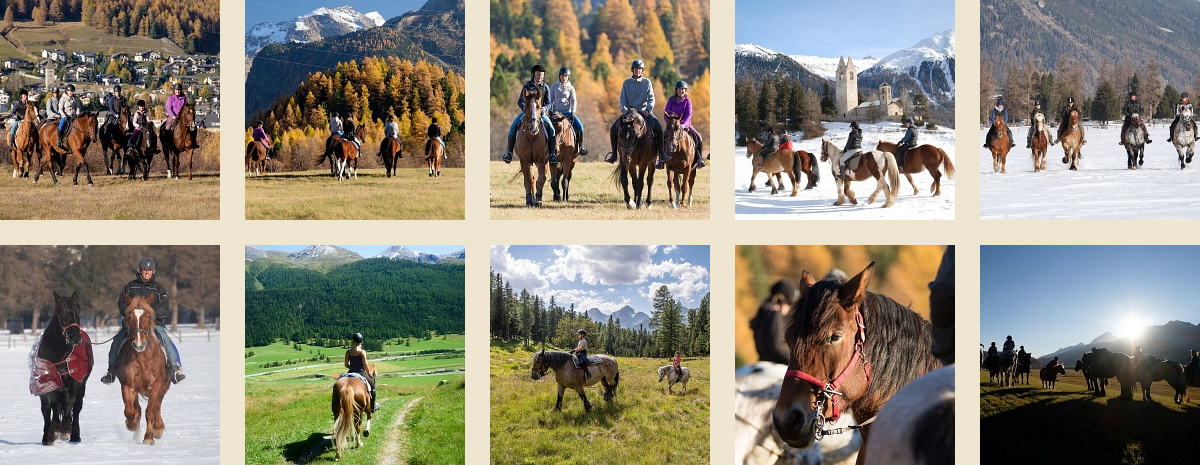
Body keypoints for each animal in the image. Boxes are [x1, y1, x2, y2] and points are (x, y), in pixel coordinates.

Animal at [30, 290, 93, 445]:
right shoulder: (47, 385)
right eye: (62, 312)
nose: (75, 337)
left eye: (78, 310)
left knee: (76, 408)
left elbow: (70, 405)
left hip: (81, 387)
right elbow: (47, 410)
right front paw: (48, 436)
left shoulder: (73, 384)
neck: (57, 355)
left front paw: (65, 430)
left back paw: (74, 435)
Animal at [114, 294, 171, 443]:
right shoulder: (128, 386)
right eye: (129, 317)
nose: (139, 344)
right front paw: (131, 425)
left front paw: (149, 437)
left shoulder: (156, 385)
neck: (142, 358)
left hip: (163, 387)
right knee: (138, 410)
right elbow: (130, 411)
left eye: (148, 316)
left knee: (157, 406)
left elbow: (150, 412)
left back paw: (158, 428)